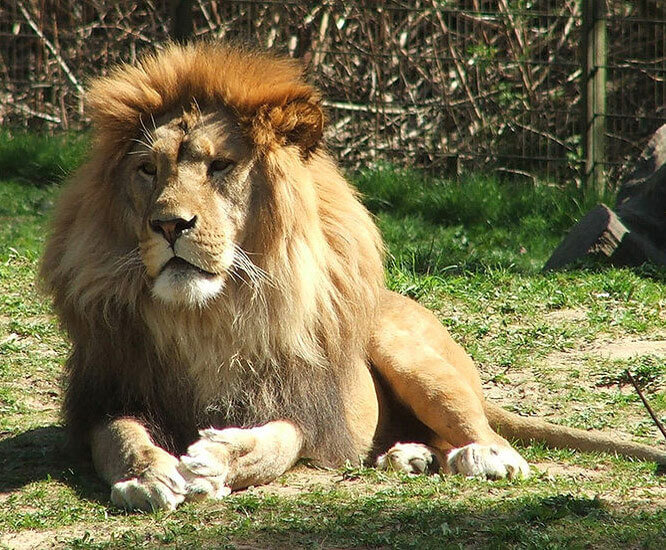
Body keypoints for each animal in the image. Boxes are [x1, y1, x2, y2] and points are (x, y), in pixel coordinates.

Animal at [41, 42, 666, 511]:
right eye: (148, 170)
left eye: (220, 165)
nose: (170, 224)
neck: (208, 315)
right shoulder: (109, 392)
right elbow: (120, 437)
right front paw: (150, 476)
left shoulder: (308, 404)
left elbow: (277, 440)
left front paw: (217, 458)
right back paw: (409, 456)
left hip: (409, 355)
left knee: (482, 430)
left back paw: (483, 458)